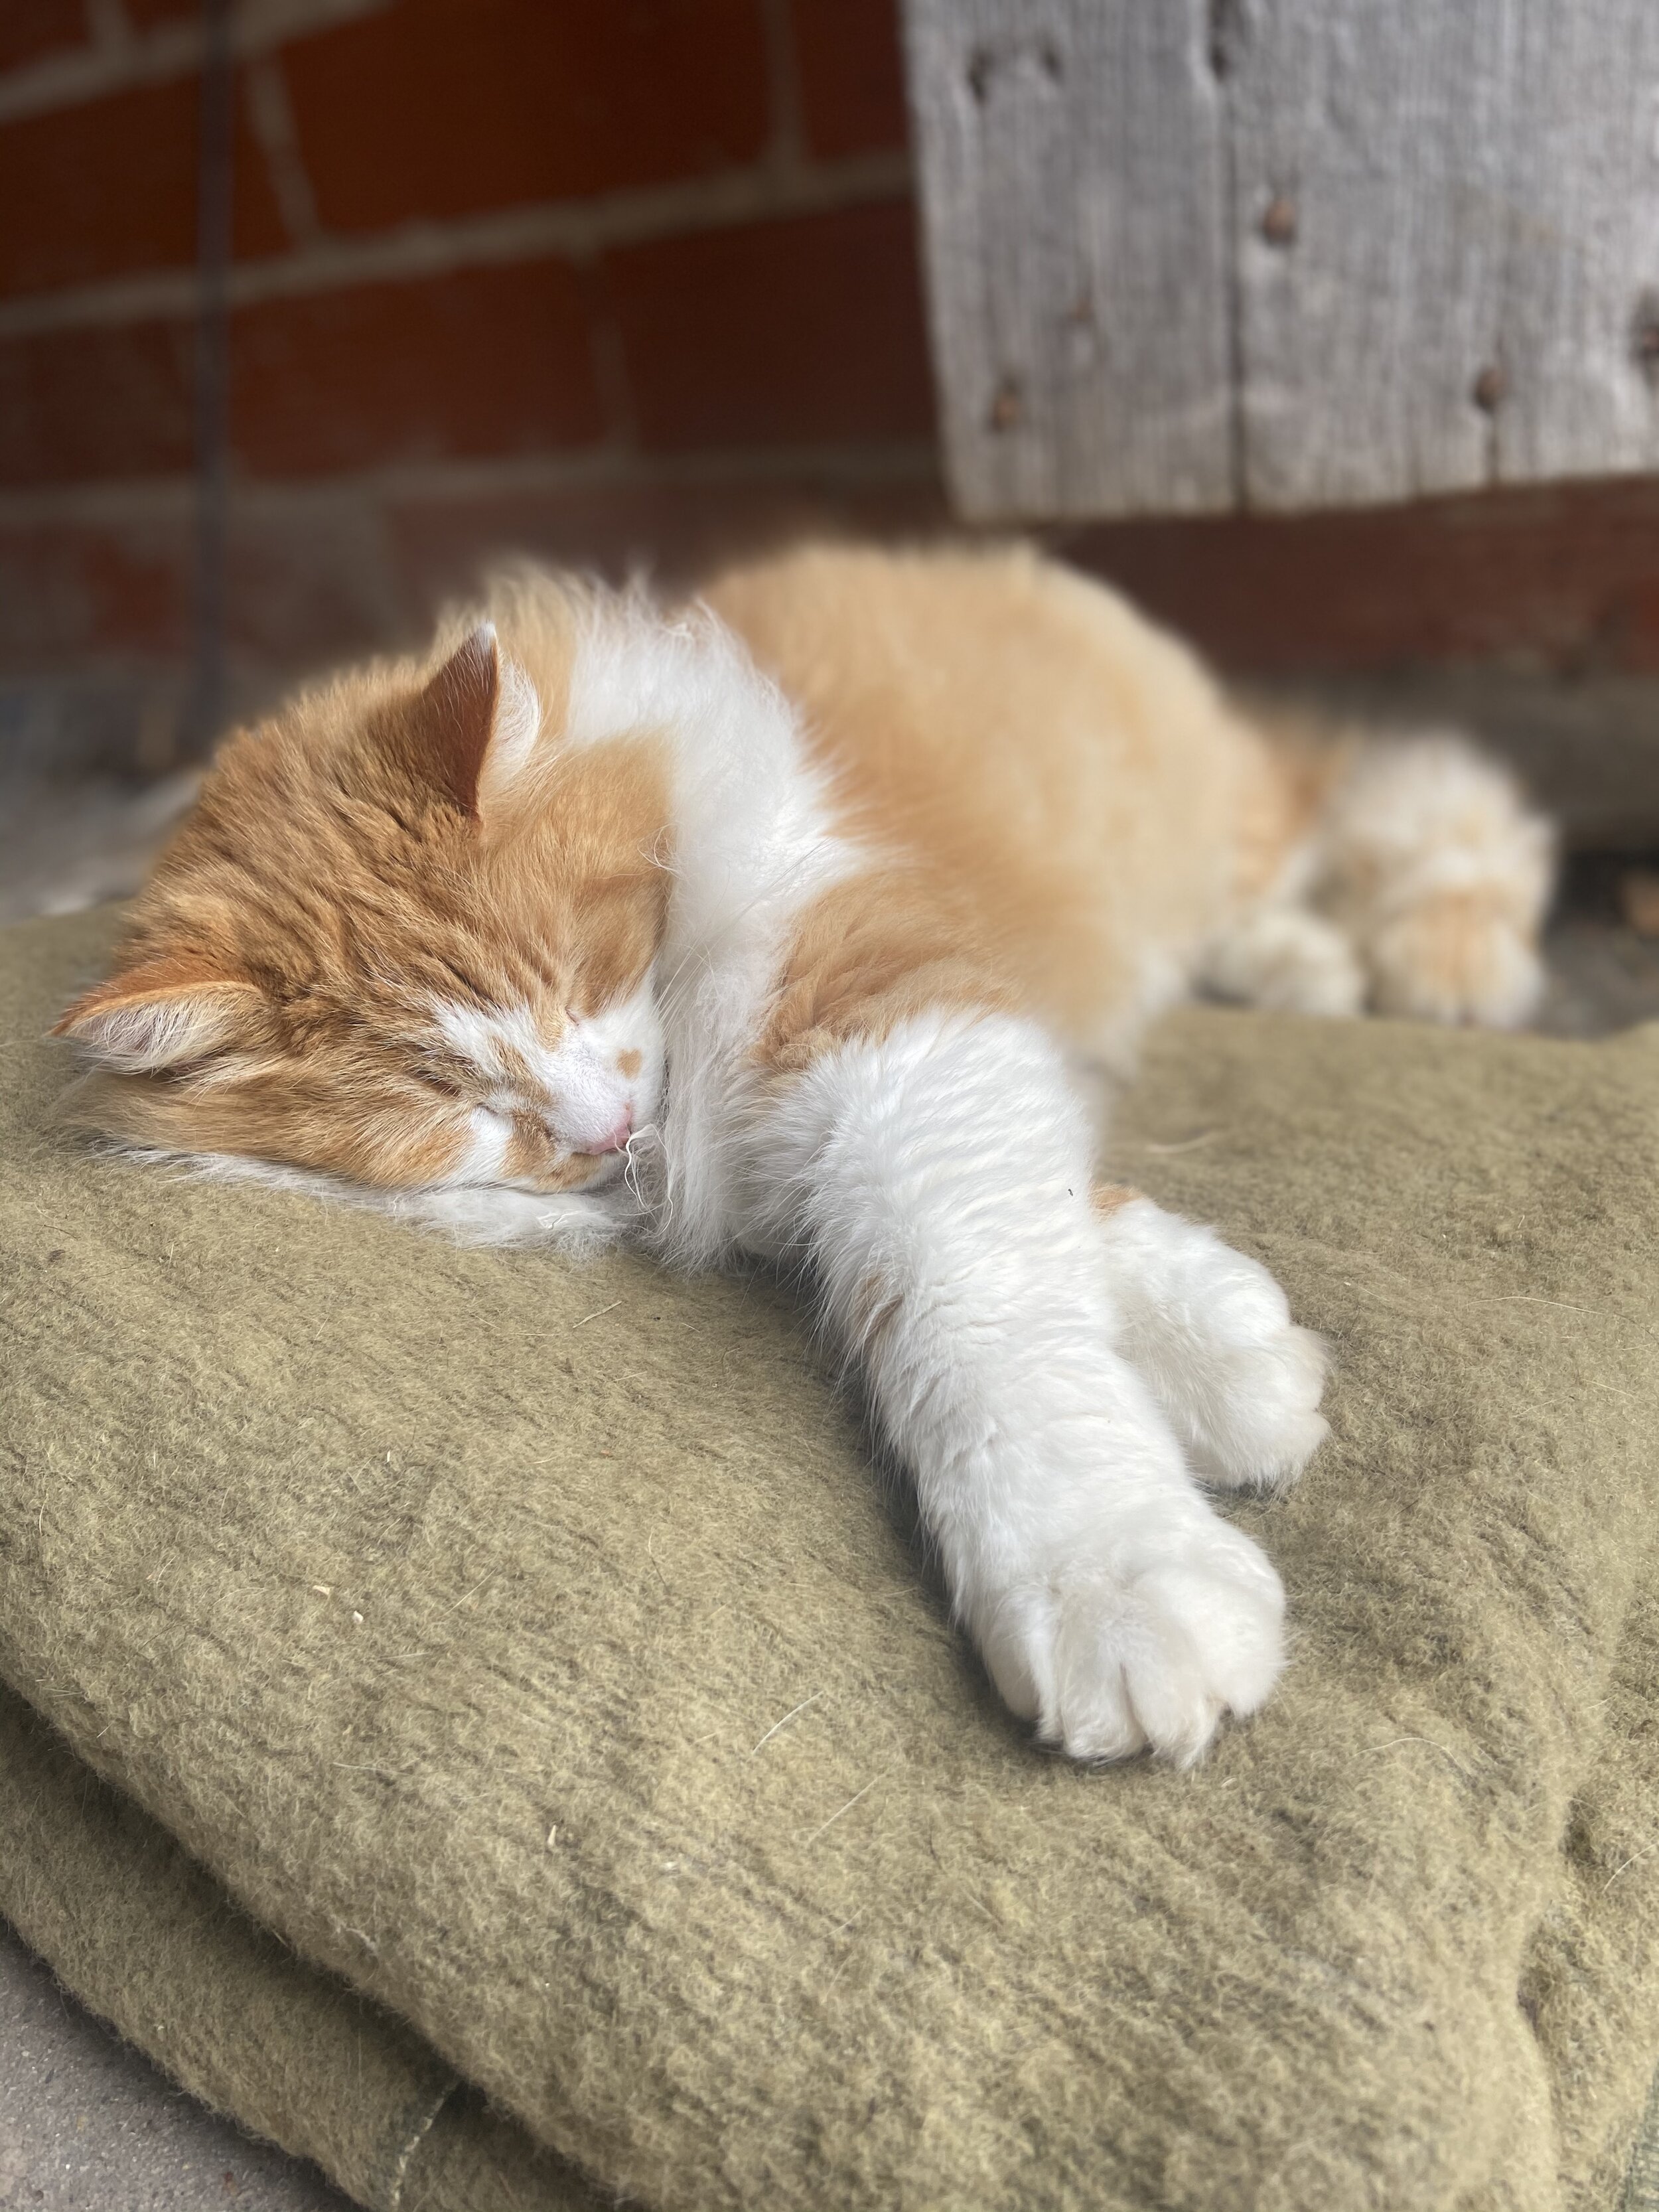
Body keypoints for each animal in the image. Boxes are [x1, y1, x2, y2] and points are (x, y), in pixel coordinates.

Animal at [52, 540, 1557, 1761]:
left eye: (577, 969)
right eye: (442, 1096)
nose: (601, 1128)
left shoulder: (888, 1025)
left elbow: (984, 1307)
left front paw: (1115, 1579)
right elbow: (1057, 1237)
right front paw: (1234, 1365)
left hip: (1215, 809)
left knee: (1403, 798)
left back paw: (1439, 963)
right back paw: (1308, 965)